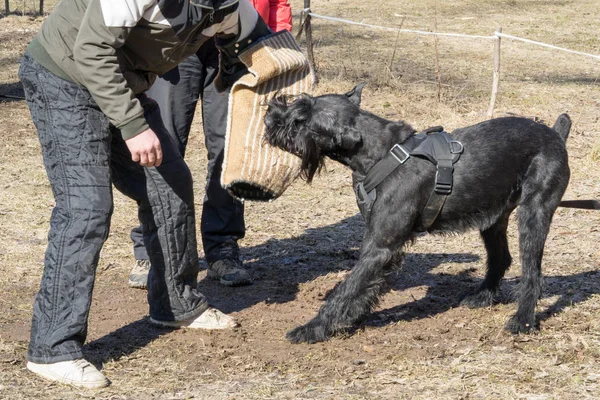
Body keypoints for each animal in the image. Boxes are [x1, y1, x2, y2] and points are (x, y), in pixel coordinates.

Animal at [264, 83, 568, 344]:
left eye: (300, 118)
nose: (269, 117)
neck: (376, 153)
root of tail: (556, 134)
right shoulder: (382, 246)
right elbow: (366, 286)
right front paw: (351, 319)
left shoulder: (379, 246)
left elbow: (348, 287)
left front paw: (313, 328)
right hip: (493, 219)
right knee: (500, 258)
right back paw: (482, 297)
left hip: (534, 213)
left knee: (532, 273)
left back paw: (523, 320)